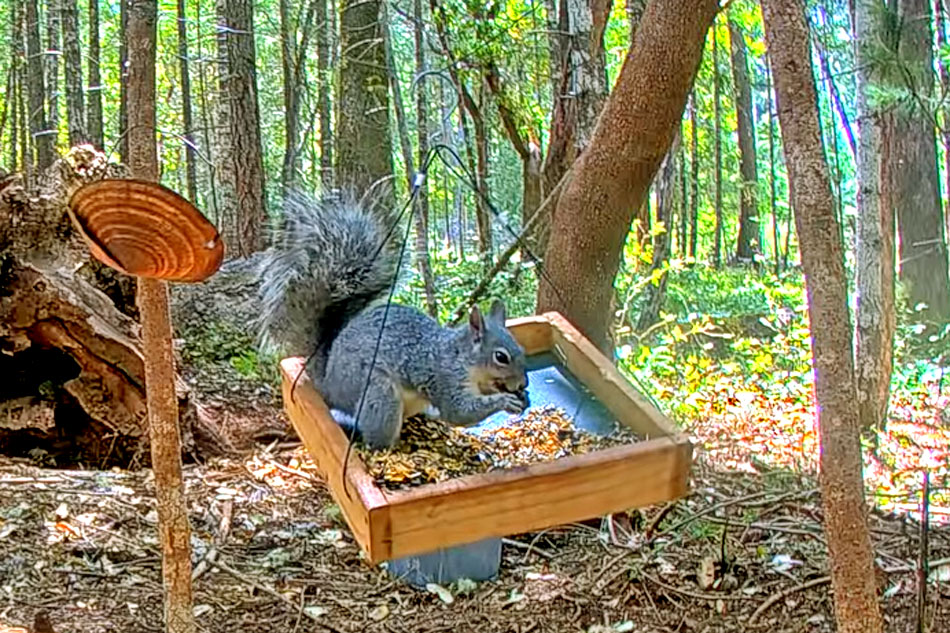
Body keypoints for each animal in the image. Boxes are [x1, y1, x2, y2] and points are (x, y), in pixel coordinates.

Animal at [256, 189, 532, 450]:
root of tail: (329, 384)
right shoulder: (444, 378)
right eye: (501, 357)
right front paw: (504, 400)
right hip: (379, 392)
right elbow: (460, 412)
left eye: (521, 349)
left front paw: (520, 397)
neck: (465, 360)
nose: (523, 383)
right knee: (375, 436)